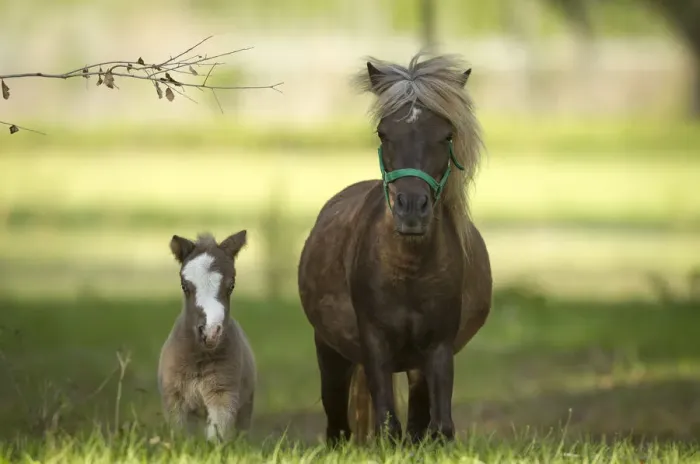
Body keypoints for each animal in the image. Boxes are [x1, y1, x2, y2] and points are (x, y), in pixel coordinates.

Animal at [158, 230, 256, 443]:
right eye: (184, 286)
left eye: (232, 285)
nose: (210, 333)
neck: (198, 359)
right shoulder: (174, 399)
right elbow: (180, 438)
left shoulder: (224, 397)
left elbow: (216, 438)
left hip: (245, 407)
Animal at [297, 52, 492, 445]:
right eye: (383, 133)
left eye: (446, 135)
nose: (411, 208)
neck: (408, 270)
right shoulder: (374, 344)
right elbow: (387, 423)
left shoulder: (438, 347)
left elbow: (439, 427)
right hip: (331, 353)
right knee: (338, 427)